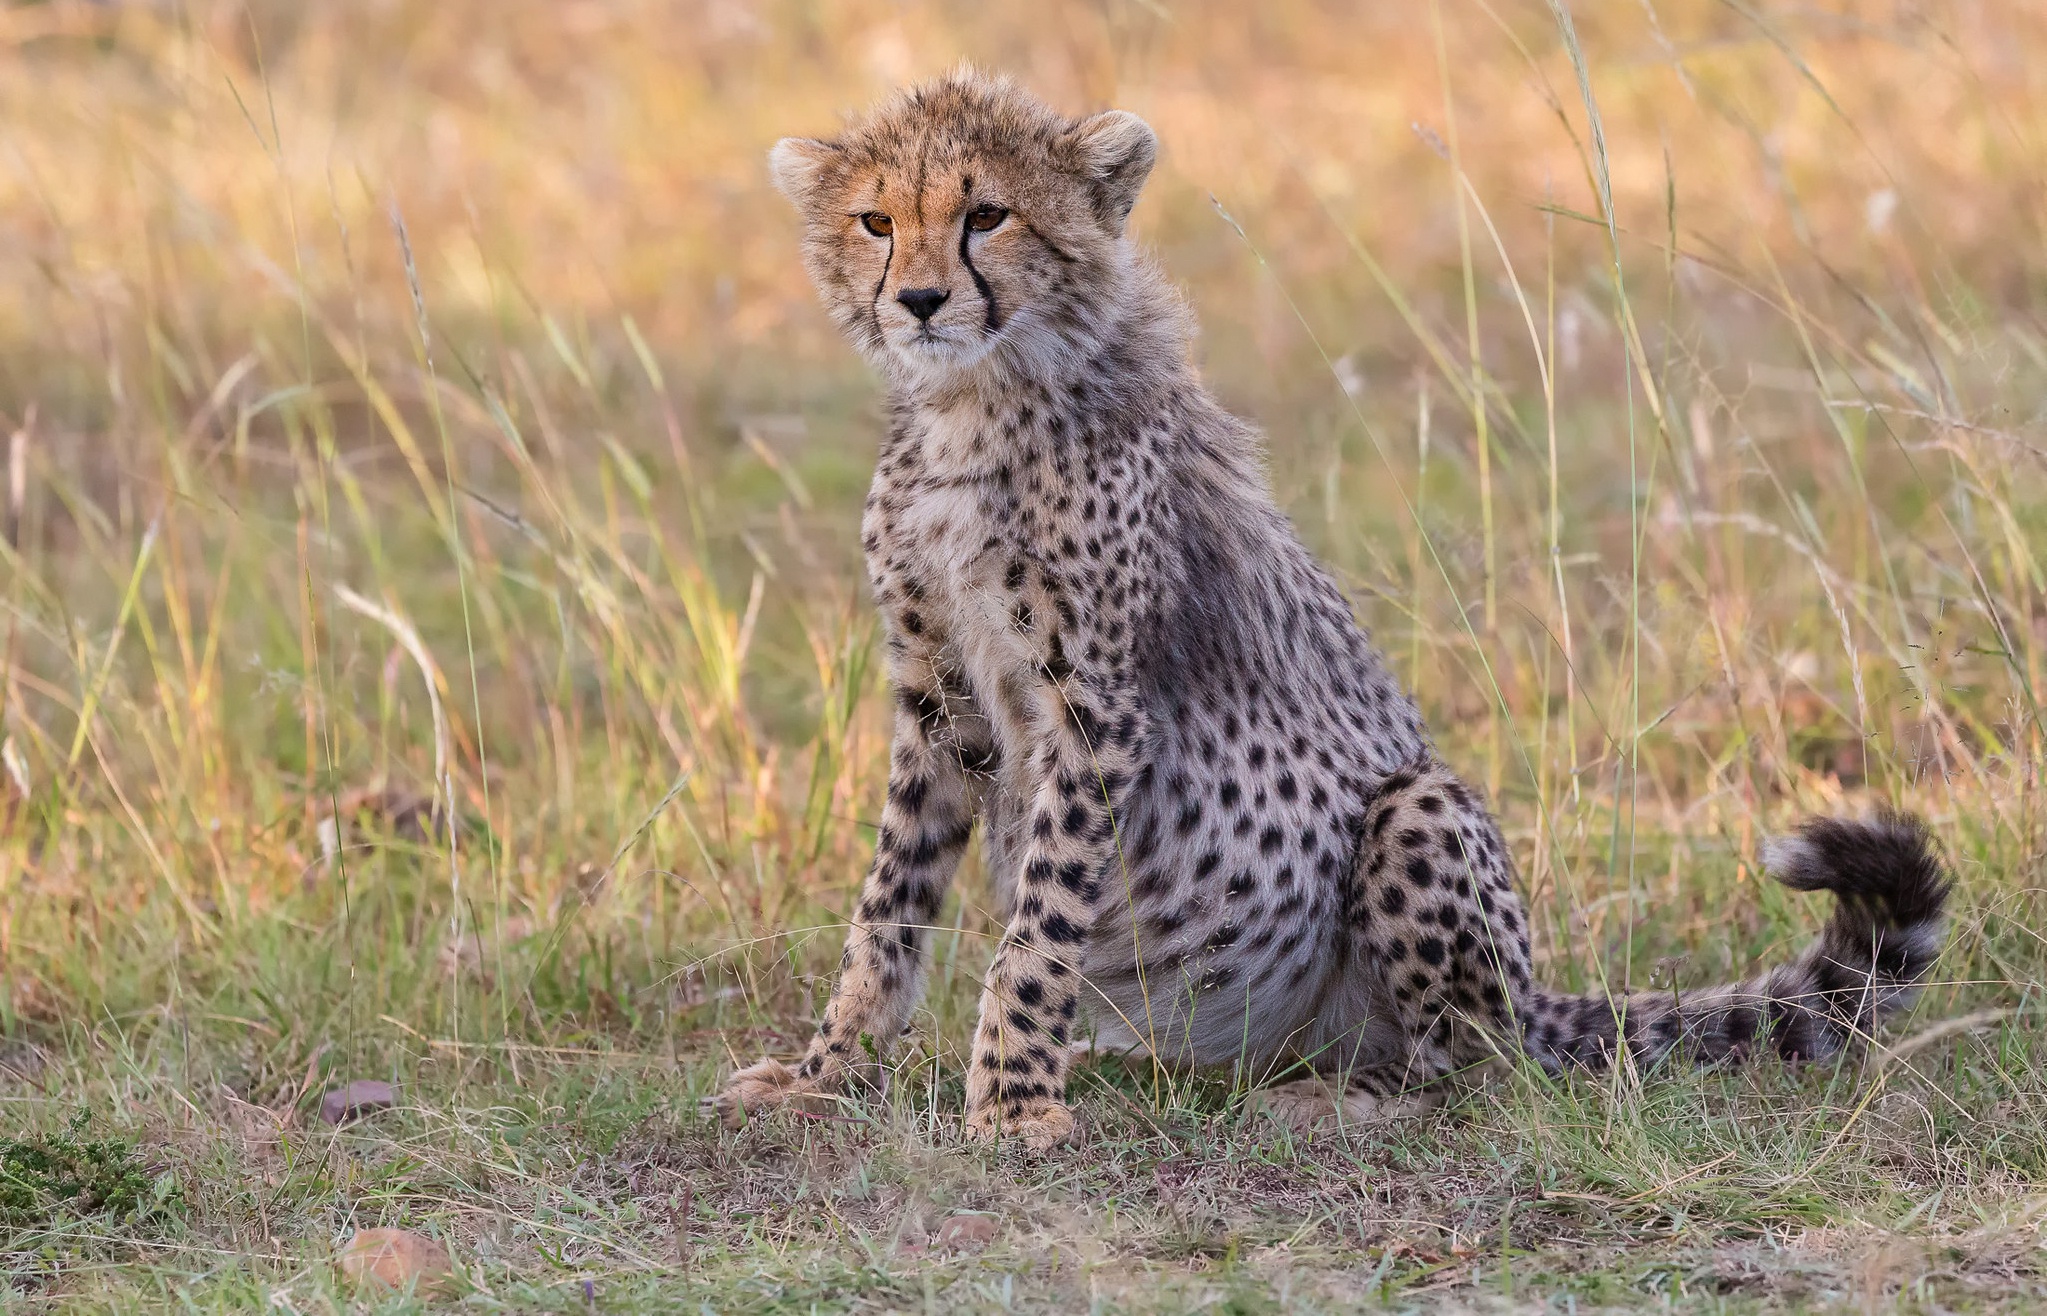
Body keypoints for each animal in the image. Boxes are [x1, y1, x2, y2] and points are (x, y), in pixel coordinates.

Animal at [711, 69, 1952, 1150]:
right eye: (876, 220)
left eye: (987, 215)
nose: (919, 299)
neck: (970, 405)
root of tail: (1534, 997)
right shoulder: (940, 700)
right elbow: (887, 903)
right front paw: (825, 1072)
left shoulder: (1094, 712)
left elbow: (1037, 925)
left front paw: (1012, 1099)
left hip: (1421, 813)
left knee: (1472, 1069)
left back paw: (1345, 1098)